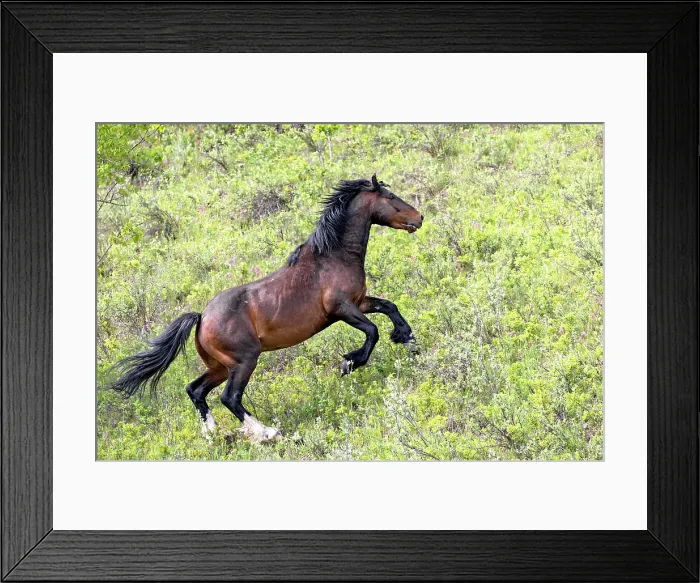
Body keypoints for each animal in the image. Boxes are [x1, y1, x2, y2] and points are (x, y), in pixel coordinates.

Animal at [108, 174, 423, 443]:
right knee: (229, 397)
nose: (419, 217)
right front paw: (349, 363)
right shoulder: (342, 309)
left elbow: (390, 307)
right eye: (391, 196)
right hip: (245, 360)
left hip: (220, 366)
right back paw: (267, 432)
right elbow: (372, 332)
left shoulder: (360, 302)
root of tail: (202, 318)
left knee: (195, 389)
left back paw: (212, 432)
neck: (334, 257)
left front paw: (408, 339)